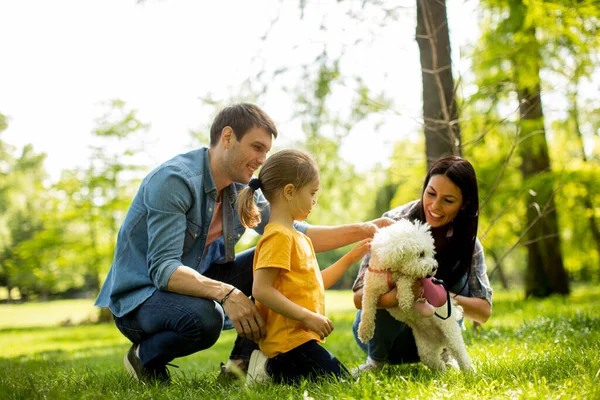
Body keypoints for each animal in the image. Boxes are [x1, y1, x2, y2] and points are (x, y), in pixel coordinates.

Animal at [356, 219, 474, 372]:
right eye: (421, 254)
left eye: (430, 253)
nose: (434, 268)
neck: (390, 269)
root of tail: (439, 339)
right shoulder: (370, 289)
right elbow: (367, 310)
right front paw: (364, 332)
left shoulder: (412, 278)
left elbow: (405, 279)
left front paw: (405, 299)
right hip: (426, 349)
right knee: (436, 363)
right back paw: (443, 374)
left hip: (450, 333)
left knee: (460, 353)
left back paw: (469, 372)